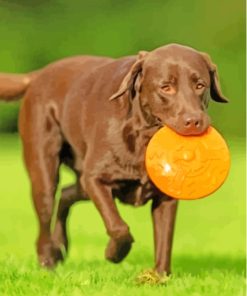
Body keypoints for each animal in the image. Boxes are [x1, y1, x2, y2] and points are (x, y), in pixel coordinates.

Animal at [0, 44, 228, 276]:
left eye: (200, 85)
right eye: (166, 87)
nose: (194, 122)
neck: (143, 137)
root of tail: (39, 74)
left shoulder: (166, 197)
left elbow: (165, 240)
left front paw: (159, 277)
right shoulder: (95, 179)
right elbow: (118, 227)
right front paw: (113, 253)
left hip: (80, 182)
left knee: (65, 194)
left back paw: (60, 246)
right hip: (45, 169)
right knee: (46, 213)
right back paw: (48, 260)